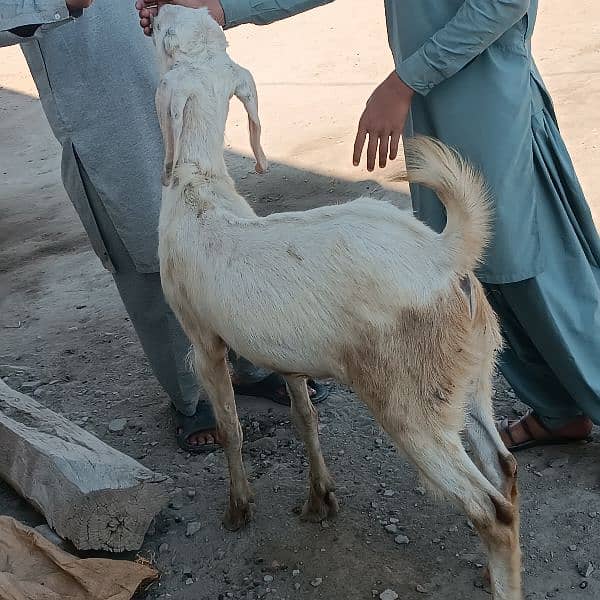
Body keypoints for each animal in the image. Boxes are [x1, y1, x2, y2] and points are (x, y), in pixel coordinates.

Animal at [154, 5, 520, 600]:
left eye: (166, 36)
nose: (157, 10)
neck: (198, 189)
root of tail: (443, 253)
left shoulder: (203, 339)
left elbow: (231, 427)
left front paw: (238, 509)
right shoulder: (287, 355)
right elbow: (304, 417)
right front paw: (319, 499)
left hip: (410, 399)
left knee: (491, 511)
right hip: (470, 374)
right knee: (505, 469)